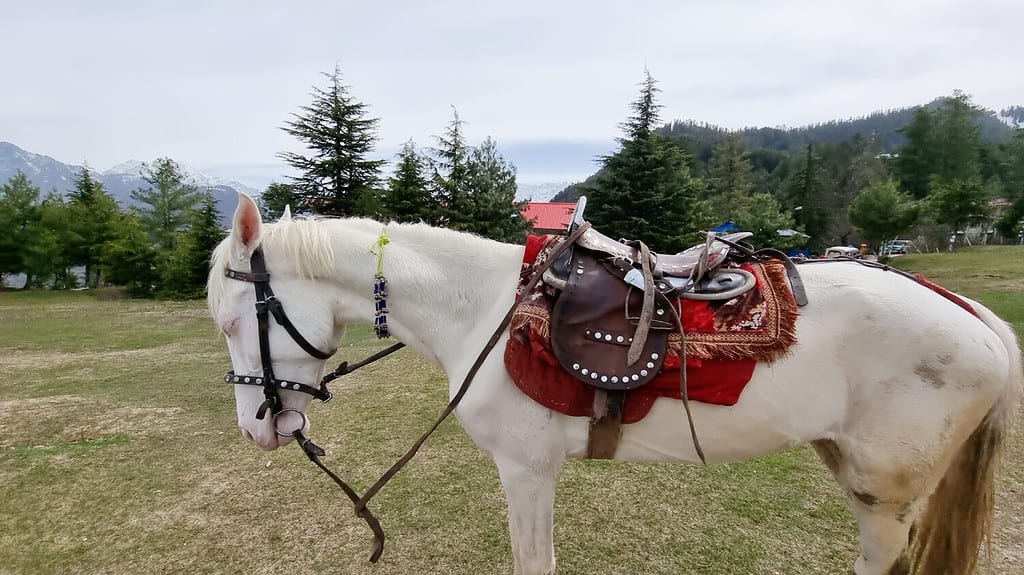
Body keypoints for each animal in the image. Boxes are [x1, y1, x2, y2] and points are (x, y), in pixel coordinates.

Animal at [209, 193, 1024, 572]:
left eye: (232, 318)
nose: (258, 426)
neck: (481, 310)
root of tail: (972, 314)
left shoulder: (527, 470)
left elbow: (533, 560)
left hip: (887, 496)